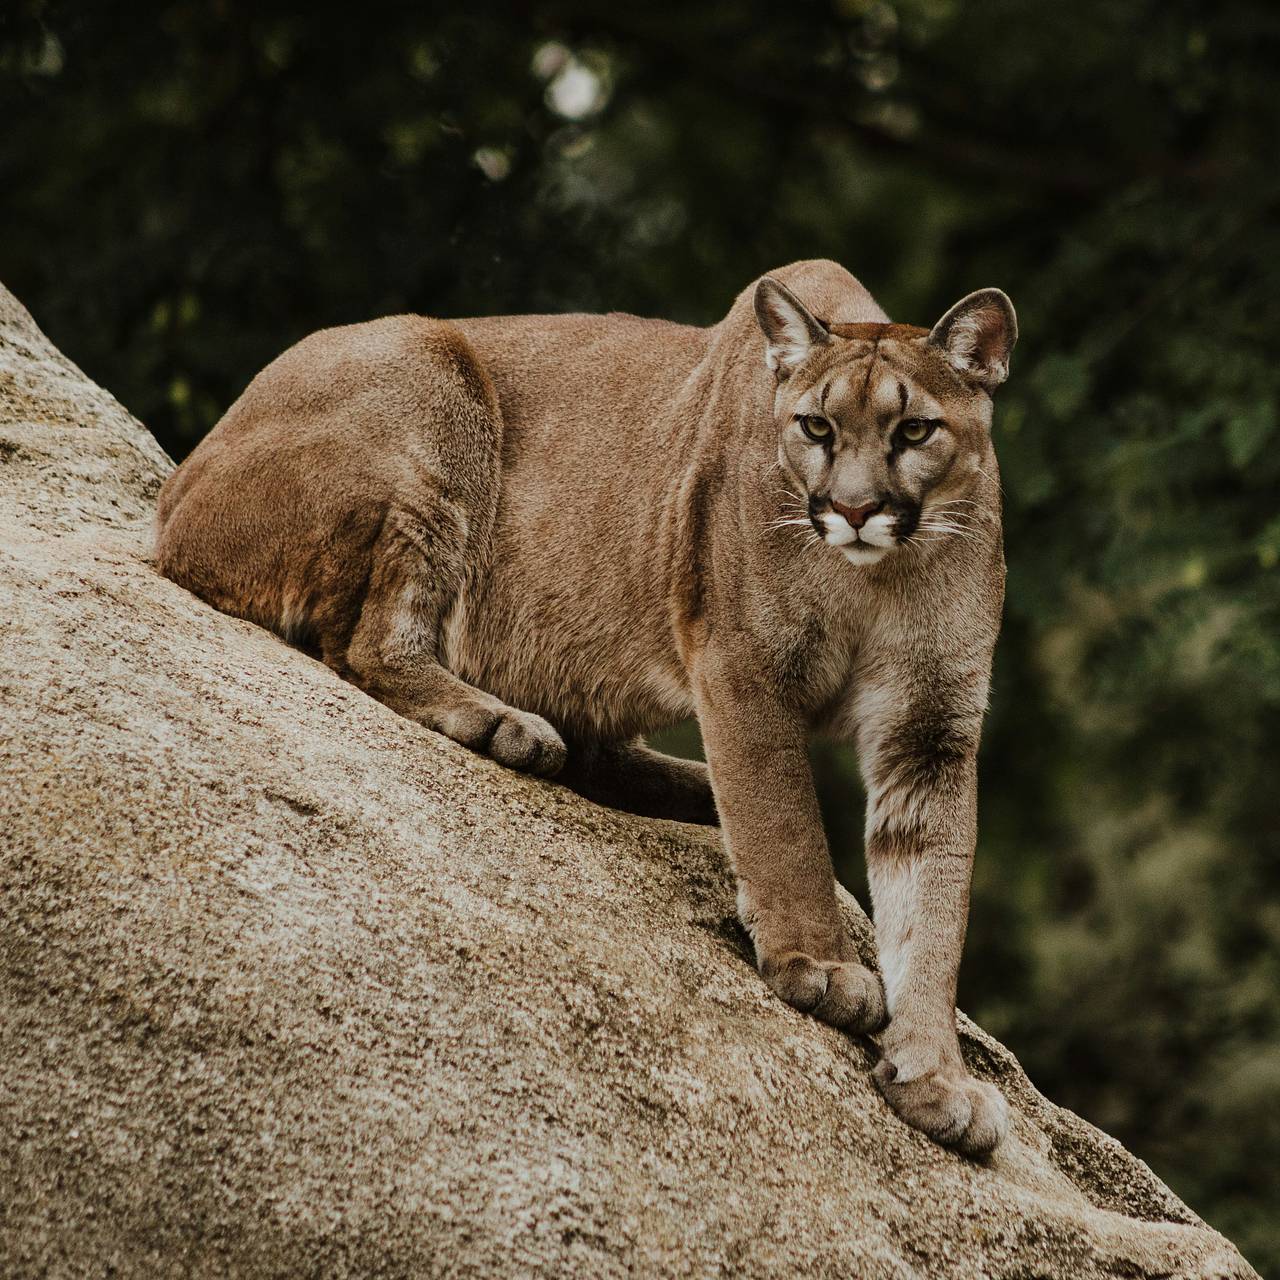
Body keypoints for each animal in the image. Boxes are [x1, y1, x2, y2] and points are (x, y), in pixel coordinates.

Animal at [157, 259, 1018, 1162]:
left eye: (915, 431)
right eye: (815, 427)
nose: (852, 511)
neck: (875, 577)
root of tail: (173, 496)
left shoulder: (930, 729)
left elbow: (932, 906)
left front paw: (936, 1078)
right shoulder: (744, 669)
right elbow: (785, 827)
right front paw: (820, 967)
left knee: (595, 746)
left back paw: (674, 786)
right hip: (433, 385)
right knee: (368, 643)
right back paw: (505, 726)